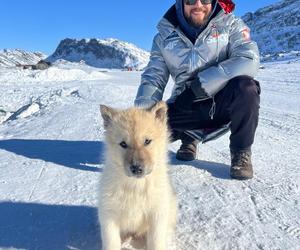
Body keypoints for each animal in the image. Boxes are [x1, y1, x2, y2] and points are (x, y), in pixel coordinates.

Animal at [99, 102, 177, 250]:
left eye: (147, 141)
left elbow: (156, 242)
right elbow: (112, 242)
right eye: (123, 144)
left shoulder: (157, 214)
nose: (136, 168)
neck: (136, 186)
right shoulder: (109, 216)